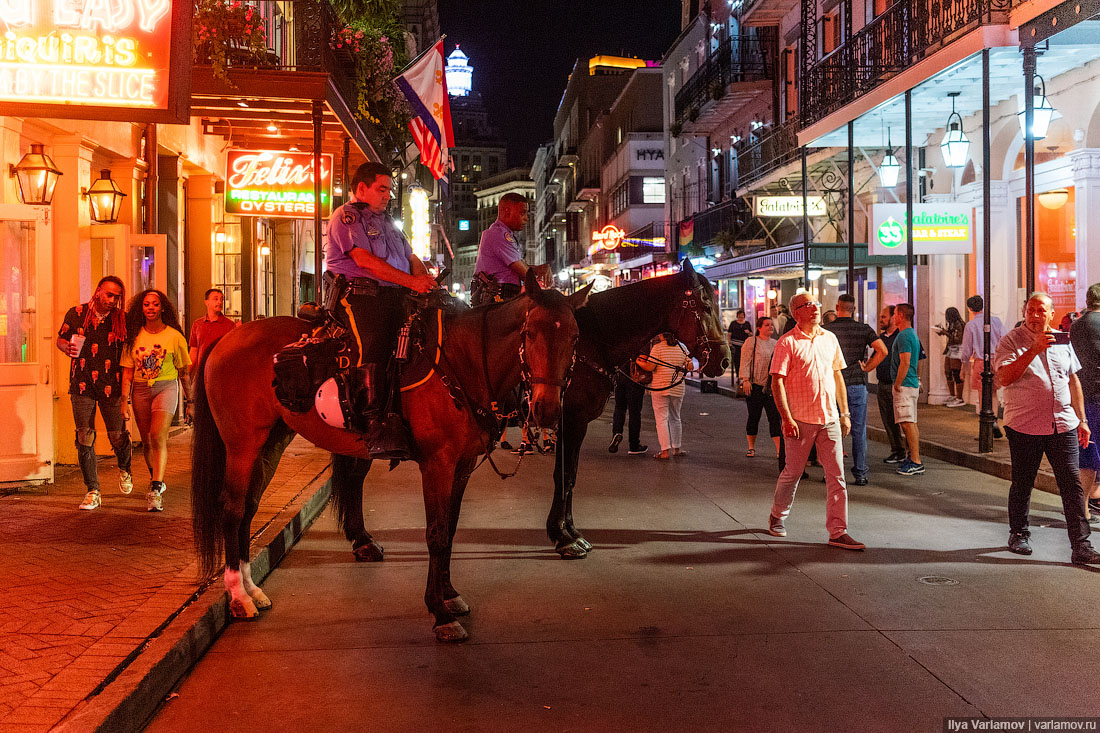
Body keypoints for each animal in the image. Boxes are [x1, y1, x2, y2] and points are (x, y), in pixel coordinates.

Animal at [196, 269, 594, 638]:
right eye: (530, 334)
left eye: (576, 337)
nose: (546, 409)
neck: (462, 361)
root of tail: (226, 338)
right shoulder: (437, 464)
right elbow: (436, 533)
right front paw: (440, 613)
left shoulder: (462, 465)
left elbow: (450, 529)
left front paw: (450, 594)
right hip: (242, 443)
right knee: (232, 508)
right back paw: (238, 597)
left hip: (271, 441)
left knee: (248, 506)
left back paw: (252, 589)